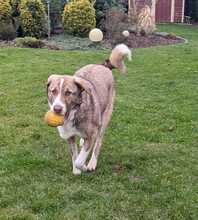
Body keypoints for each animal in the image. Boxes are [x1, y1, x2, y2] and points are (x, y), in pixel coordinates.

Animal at [46, 44, 131, 175]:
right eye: (53, 91)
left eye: (68, 93)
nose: (57, 109)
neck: (75, 113)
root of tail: (103, 66)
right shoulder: (69, 137)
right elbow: (74, 155)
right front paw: (76, 170)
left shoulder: (92, 134)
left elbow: (80, 160)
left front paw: (84, 167)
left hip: (104, 119)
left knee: (98, 143)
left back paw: (92, 163)